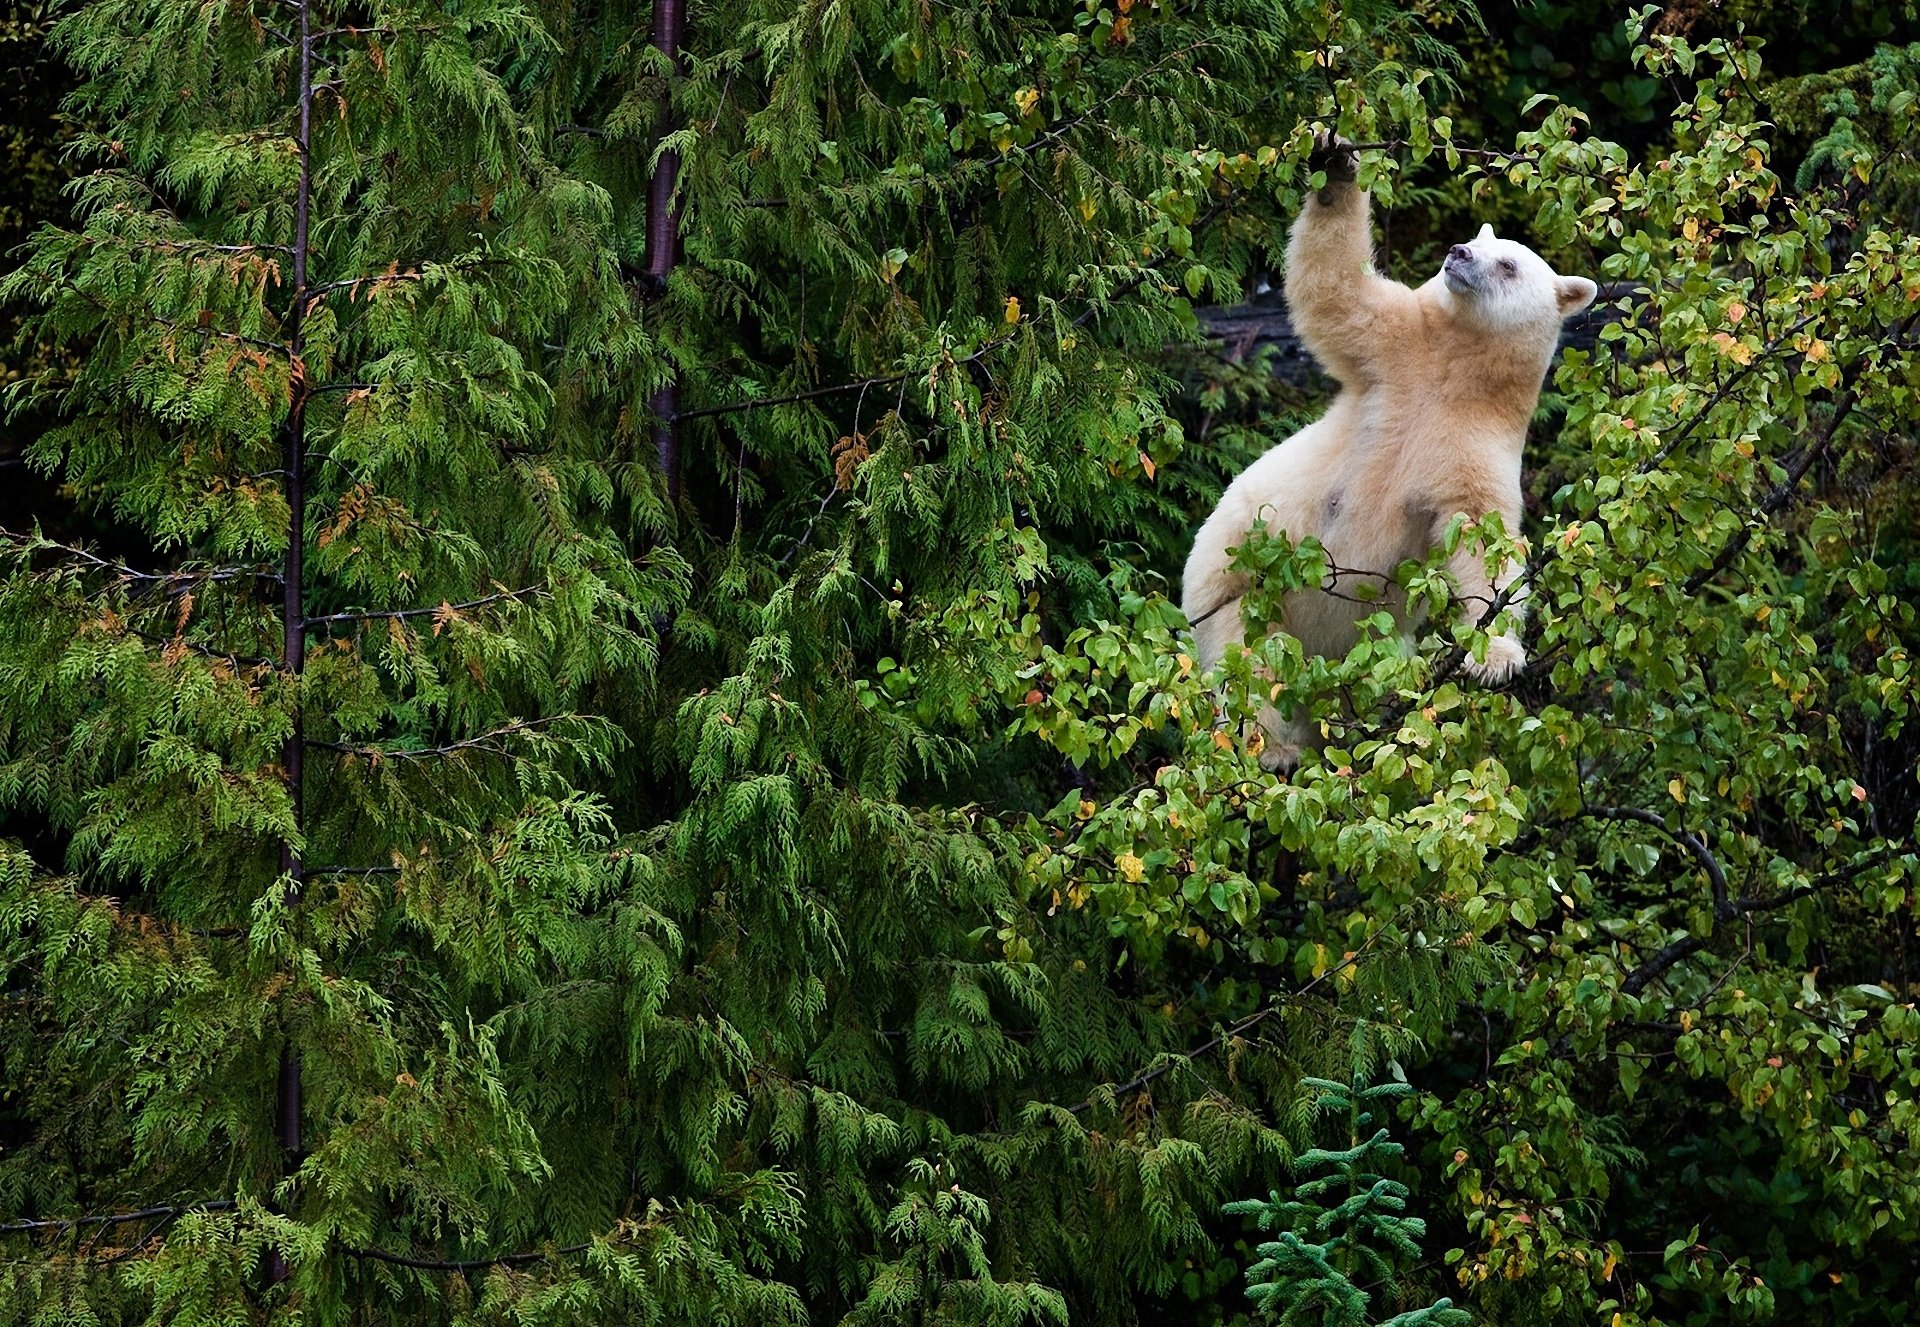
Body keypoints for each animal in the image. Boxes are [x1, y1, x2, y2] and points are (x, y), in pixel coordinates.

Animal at [1175, 135, 1597, 768]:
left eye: (1508, 262)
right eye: (1477, 239)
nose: (1458, 253)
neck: (1453, 370)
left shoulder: (1478, 443)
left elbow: (1482, 538)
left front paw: (1494, 658)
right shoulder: (1392, 354)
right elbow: (1337, 294)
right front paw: (1335, 164)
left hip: (1363, 652)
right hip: (1231, 589)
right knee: (1248, 662)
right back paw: (1274, 749)